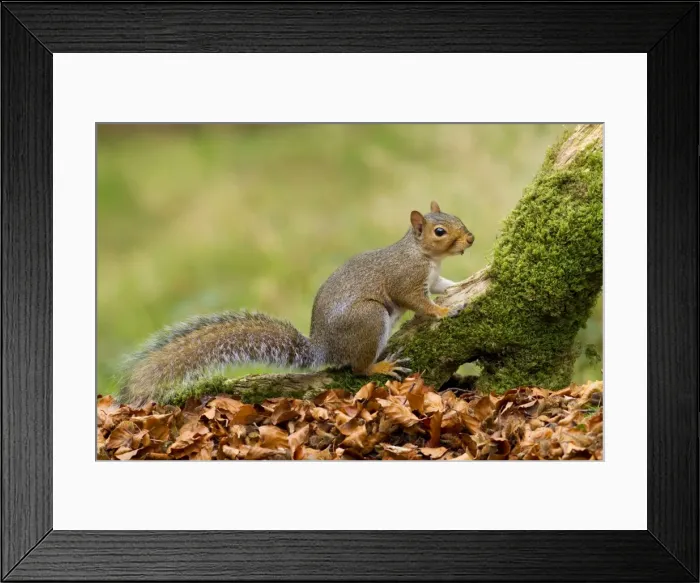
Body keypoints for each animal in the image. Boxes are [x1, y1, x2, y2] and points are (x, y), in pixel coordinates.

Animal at [118, 201, 474, 406]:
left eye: (458, 217)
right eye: (439, 231)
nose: (470, 239)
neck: (424, 255)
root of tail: (324, 349)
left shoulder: (432, 278)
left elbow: (443, 285)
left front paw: (463, 285)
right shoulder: (406, 281)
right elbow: (418, 302)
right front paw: (443, 310)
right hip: (369, 318)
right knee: (358, 368)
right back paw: (381, 365)